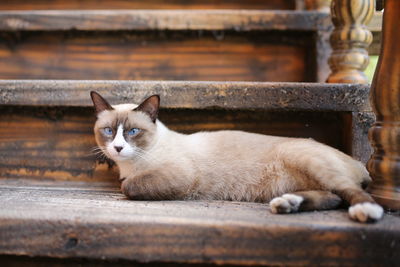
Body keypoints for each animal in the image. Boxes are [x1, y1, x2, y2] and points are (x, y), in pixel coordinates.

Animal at [90, 92, 384, 224]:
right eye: (108, 131)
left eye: (132, 132)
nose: (117, 148)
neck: (129, 165)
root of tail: (359, 163)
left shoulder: (178, 176)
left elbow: (128, 186)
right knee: (333, 196)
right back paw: (287, 204)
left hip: (305, 159)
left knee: (349, 191)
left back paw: (366, 211)